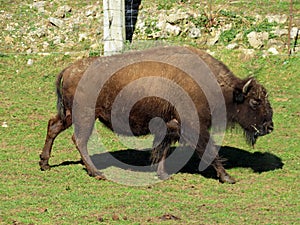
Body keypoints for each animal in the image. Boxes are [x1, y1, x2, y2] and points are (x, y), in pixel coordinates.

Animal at [40, 45, 274, 183]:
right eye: (255, 101)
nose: (269, 127)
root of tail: (70, 68)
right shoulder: (193, 125)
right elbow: (209, 149)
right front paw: (227, 177)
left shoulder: (170, 125)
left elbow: (162, 149)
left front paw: (162, 173)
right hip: (85, 117)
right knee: (79, 139)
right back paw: (96, 173)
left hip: (70, 115)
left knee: (54, 126)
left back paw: (45, 163)